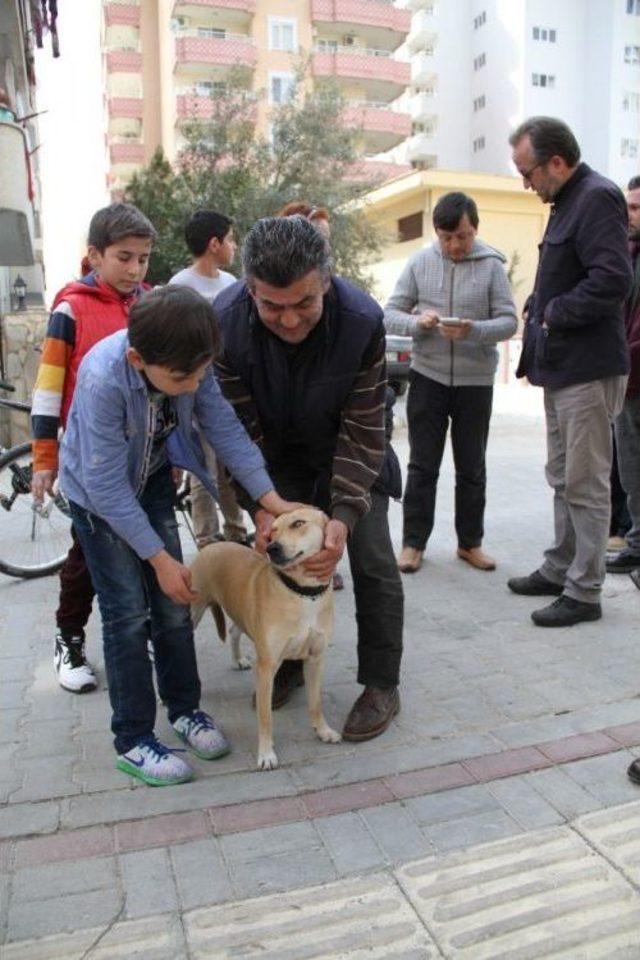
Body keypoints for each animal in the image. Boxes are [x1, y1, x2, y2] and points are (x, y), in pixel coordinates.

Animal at [190, 506, 340, 768]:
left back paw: (237, 659)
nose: (272, 548)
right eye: (272, 531)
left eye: (298, 523)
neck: (302, 592)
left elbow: (316, 703)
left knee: (233, 631)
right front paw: (266, 753)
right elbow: (265, 716)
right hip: (193, 611)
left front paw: (323, 730)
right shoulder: (267, 666)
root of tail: (213, 545)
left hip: (242, 614)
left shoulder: (315, 659)